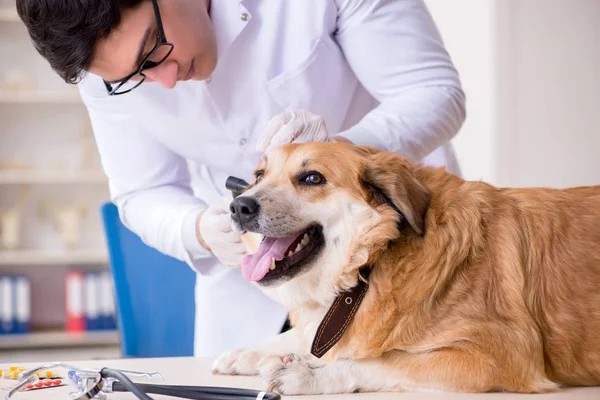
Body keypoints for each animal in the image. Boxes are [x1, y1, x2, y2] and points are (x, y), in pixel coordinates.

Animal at [211, 142, 600, 396]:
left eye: (311, 178)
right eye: (259, 175)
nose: (239, 206)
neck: (371, 264)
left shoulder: (498, 353)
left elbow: (381, 361)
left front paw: (307, 375)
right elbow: (307, 337)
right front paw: (250, 352)